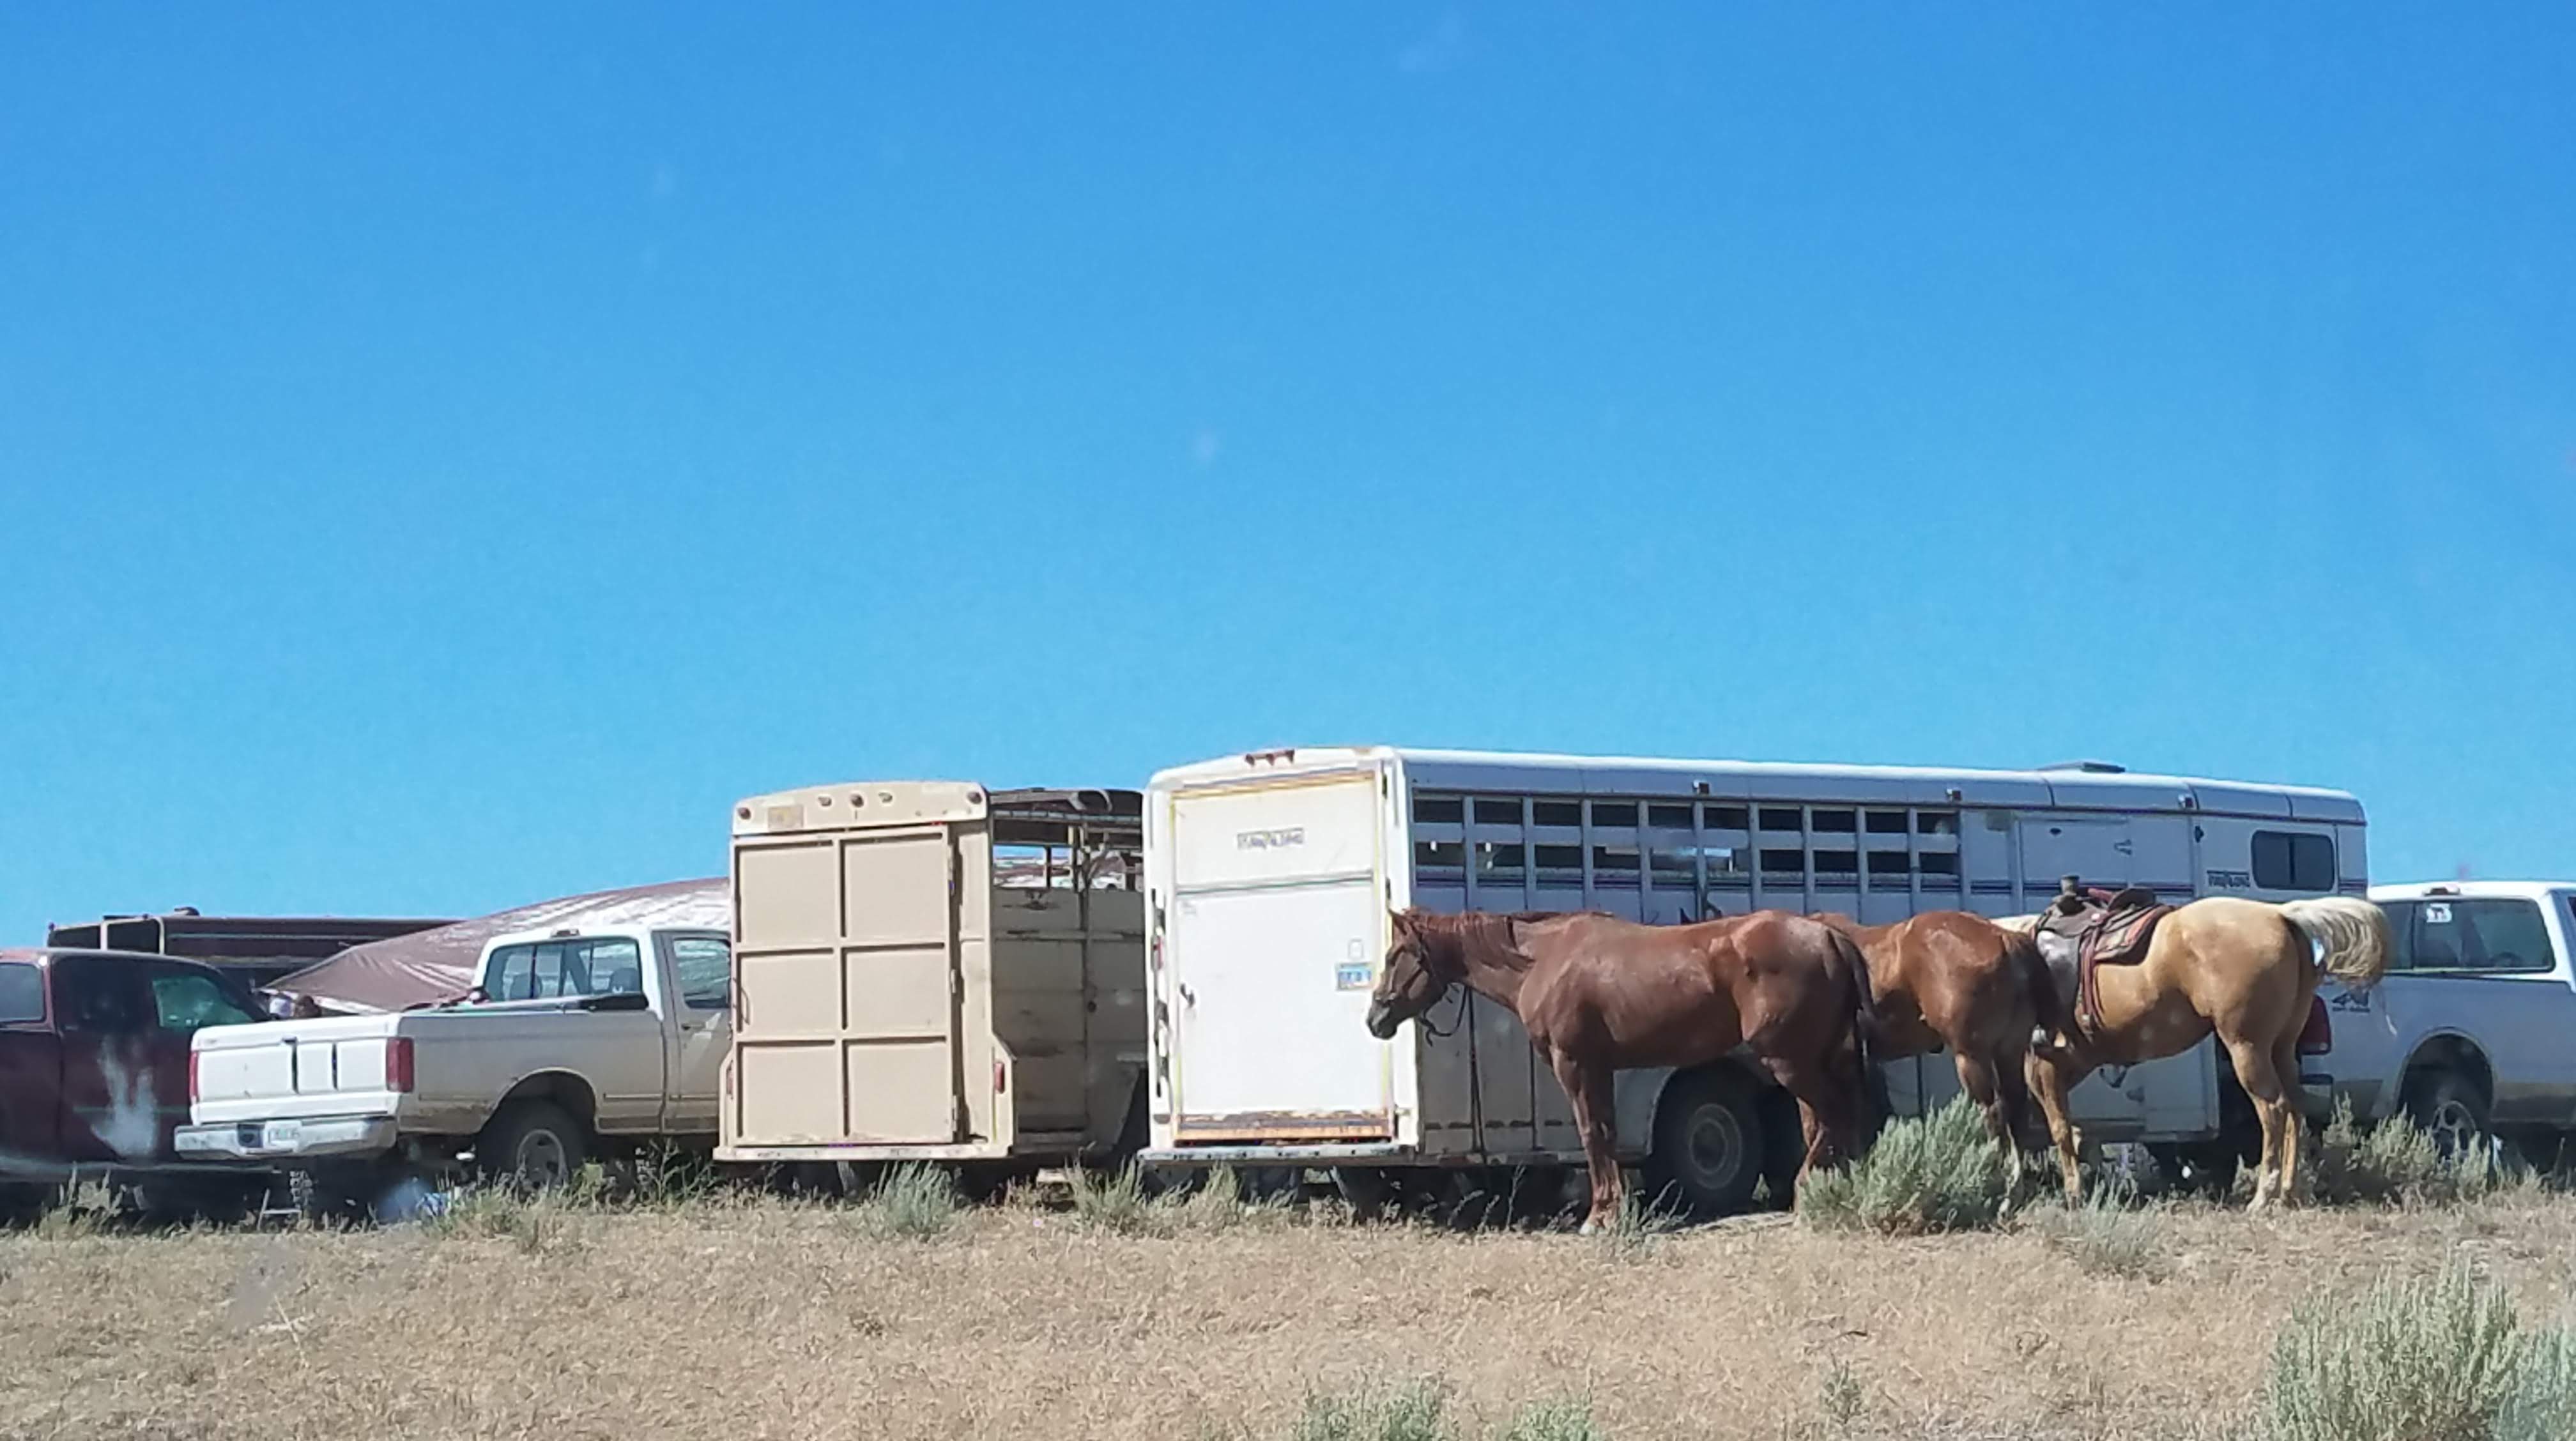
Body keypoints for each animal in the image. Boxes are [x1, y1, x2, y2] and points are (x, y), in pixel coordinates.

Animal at [1363, 907, 1876, 1232]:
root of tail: (1827, 936)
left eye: (1394, 957)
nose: (1375, 1018)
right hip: (1810, 1060)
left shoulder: (1575, 1066)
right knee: (1831, 1122)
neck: (1543, 961)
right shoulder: (1600, 1069)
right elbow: (1606, 1133)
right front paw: (1615, 1209)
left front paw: (1601, 1216)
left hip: (1789, 1061)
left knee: (1834, 1117)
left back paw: (1810, 1191)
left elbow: (1593, 1134)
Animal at [2010, 891, 2390, 1209]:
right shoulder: (2071, 1064)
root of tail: (2281, 915)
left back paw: (2263, 1197)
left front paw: (2072, 1193)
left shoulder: (2041, 1066)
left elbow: (2056, 1128)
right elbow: (2068, 1130)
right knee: (2295, 1109)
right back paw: (2288, 1192)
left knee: (2273, 1109)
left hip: (2247, 1047)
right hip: (2281, 1048)